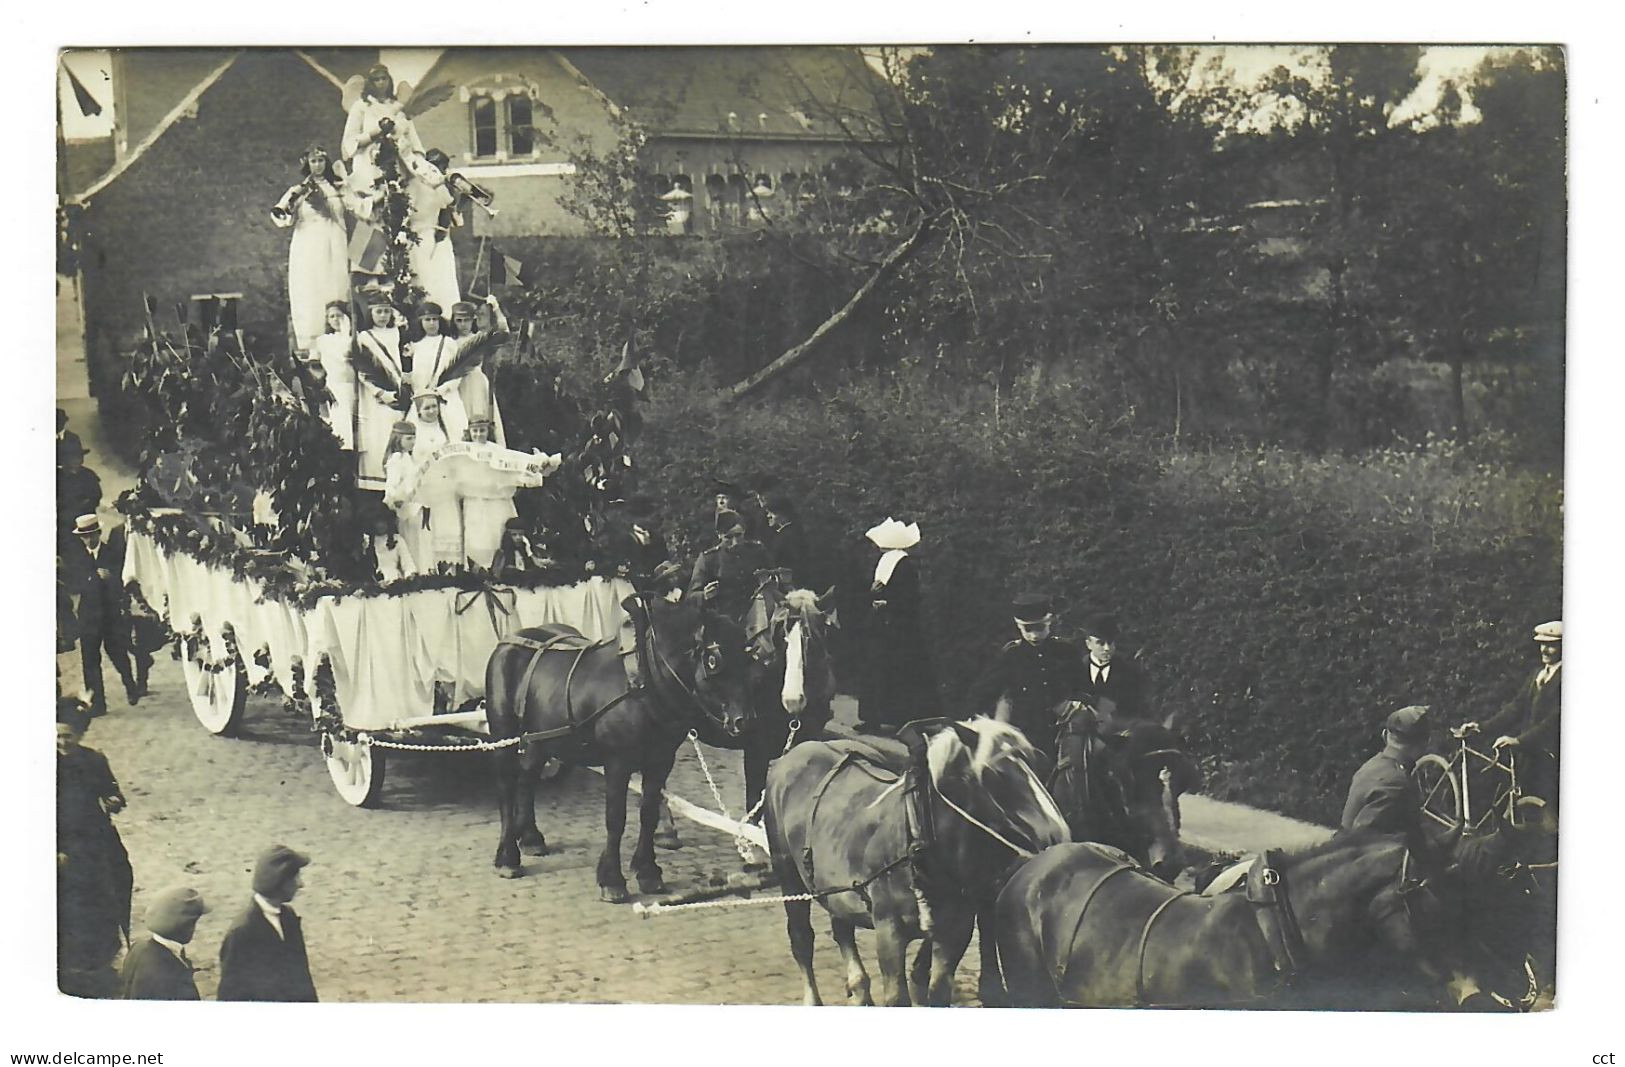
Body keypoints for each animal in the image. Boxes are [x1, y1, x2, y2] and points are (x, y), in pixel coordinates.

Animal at [484, 591, 757, 896]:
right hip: (503, 734)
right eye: (713, 661)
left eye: (748, 657)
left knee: (527, 777)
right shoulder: (617, 762)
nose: (743, 720)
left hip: (540, 738)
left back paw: (530, 837)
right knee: (507, 786)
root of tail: (508, 641)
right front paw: (612, 879)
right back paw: (508, 856)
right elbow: (616, 818)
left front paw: (648, 871)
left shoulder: (661, 761)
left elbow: (648, 814)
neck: (643, 682)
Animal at [767, 714, 1072, 1006]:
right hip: (788, 874)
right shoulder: (889, 931)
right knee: (802, 940)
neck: (917, 840)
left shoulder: (955, 931)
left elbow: (938, 993)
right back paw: (814, 998)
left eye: (1037, 763)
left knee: (841, 926)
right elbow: (897, 998)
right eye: (993, 772)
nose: (1056, 831)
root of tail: (796, 751)